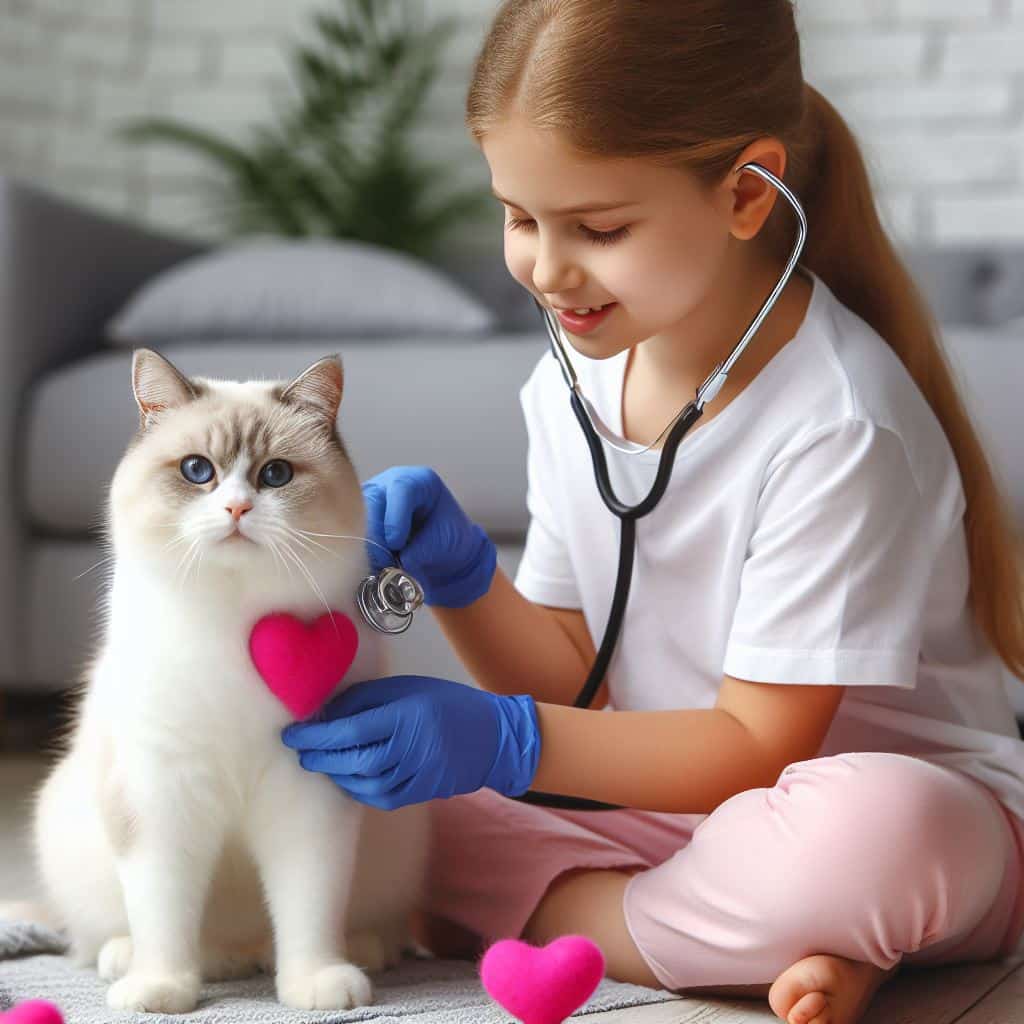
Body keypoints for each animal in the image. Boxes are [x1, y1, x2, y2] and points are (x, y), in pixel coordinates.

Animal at [29, 350, 428, 1015]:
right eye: (198, 471)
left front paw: (315, 983)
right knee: (115, 935)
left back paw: (357, 951)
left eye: (275, 475)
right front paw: (161, 989)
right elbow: (162, 914)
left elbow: (309, 907)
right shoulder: (159, 797)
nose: (238, 510)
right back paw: (141, 962)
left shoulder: (310, 798)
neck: (234, 622)